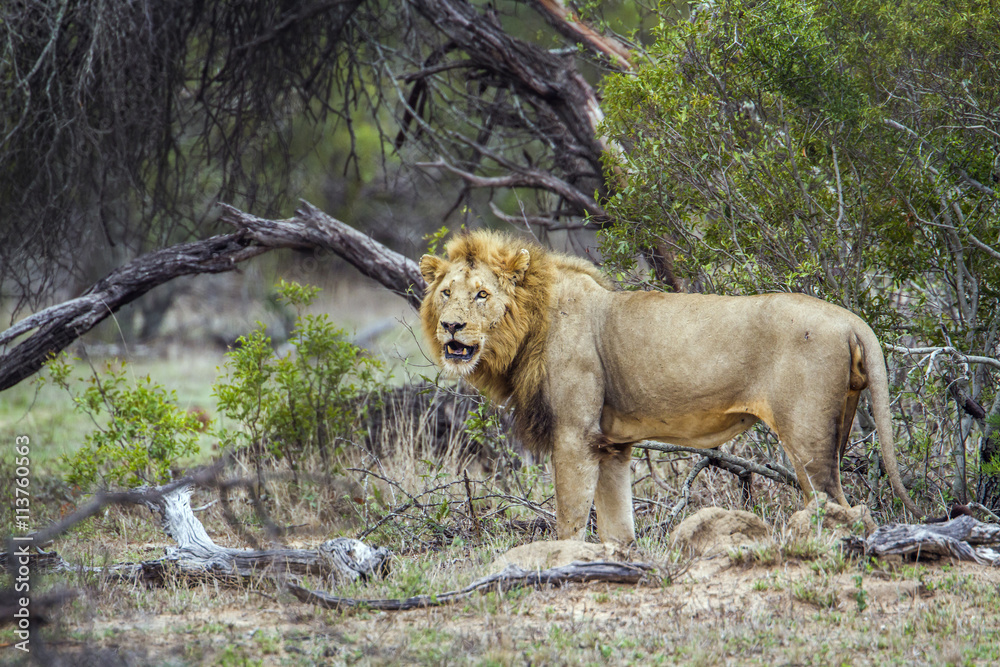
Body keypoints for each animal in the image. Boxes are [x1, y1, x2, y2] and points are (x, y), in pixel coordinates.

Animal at [419, 230, 919, 543]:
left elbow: (570, 520)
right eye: (446, 293)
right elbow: (617, 528)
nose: (451, 326)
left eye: (482, 294)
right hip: (839, 426)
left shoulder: (575, 436)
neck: (528, 326)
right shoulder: (611, 445)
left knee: (838, 506)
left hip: (807, 437)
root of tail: (850, 318)